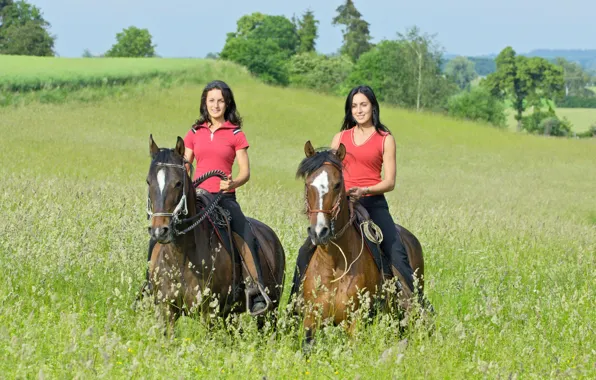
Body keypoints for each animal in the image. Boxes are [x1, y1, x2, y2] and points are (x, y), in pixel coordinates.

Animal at [143, 135, 286, 334]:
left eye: (178, 183)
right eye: (149, 181)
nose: (159, 231)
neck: (182, 257)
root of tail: (272, 236)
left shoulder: (209, 313)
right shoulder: (167, 311)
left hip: (270, 309)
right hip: (231, 314)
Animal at [294, 141, 426, 342]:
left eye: (337, 184)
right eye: (309, 184)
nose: (319, 232)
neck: (335, 262)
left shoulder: (355, 322)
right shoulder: (311, 319)